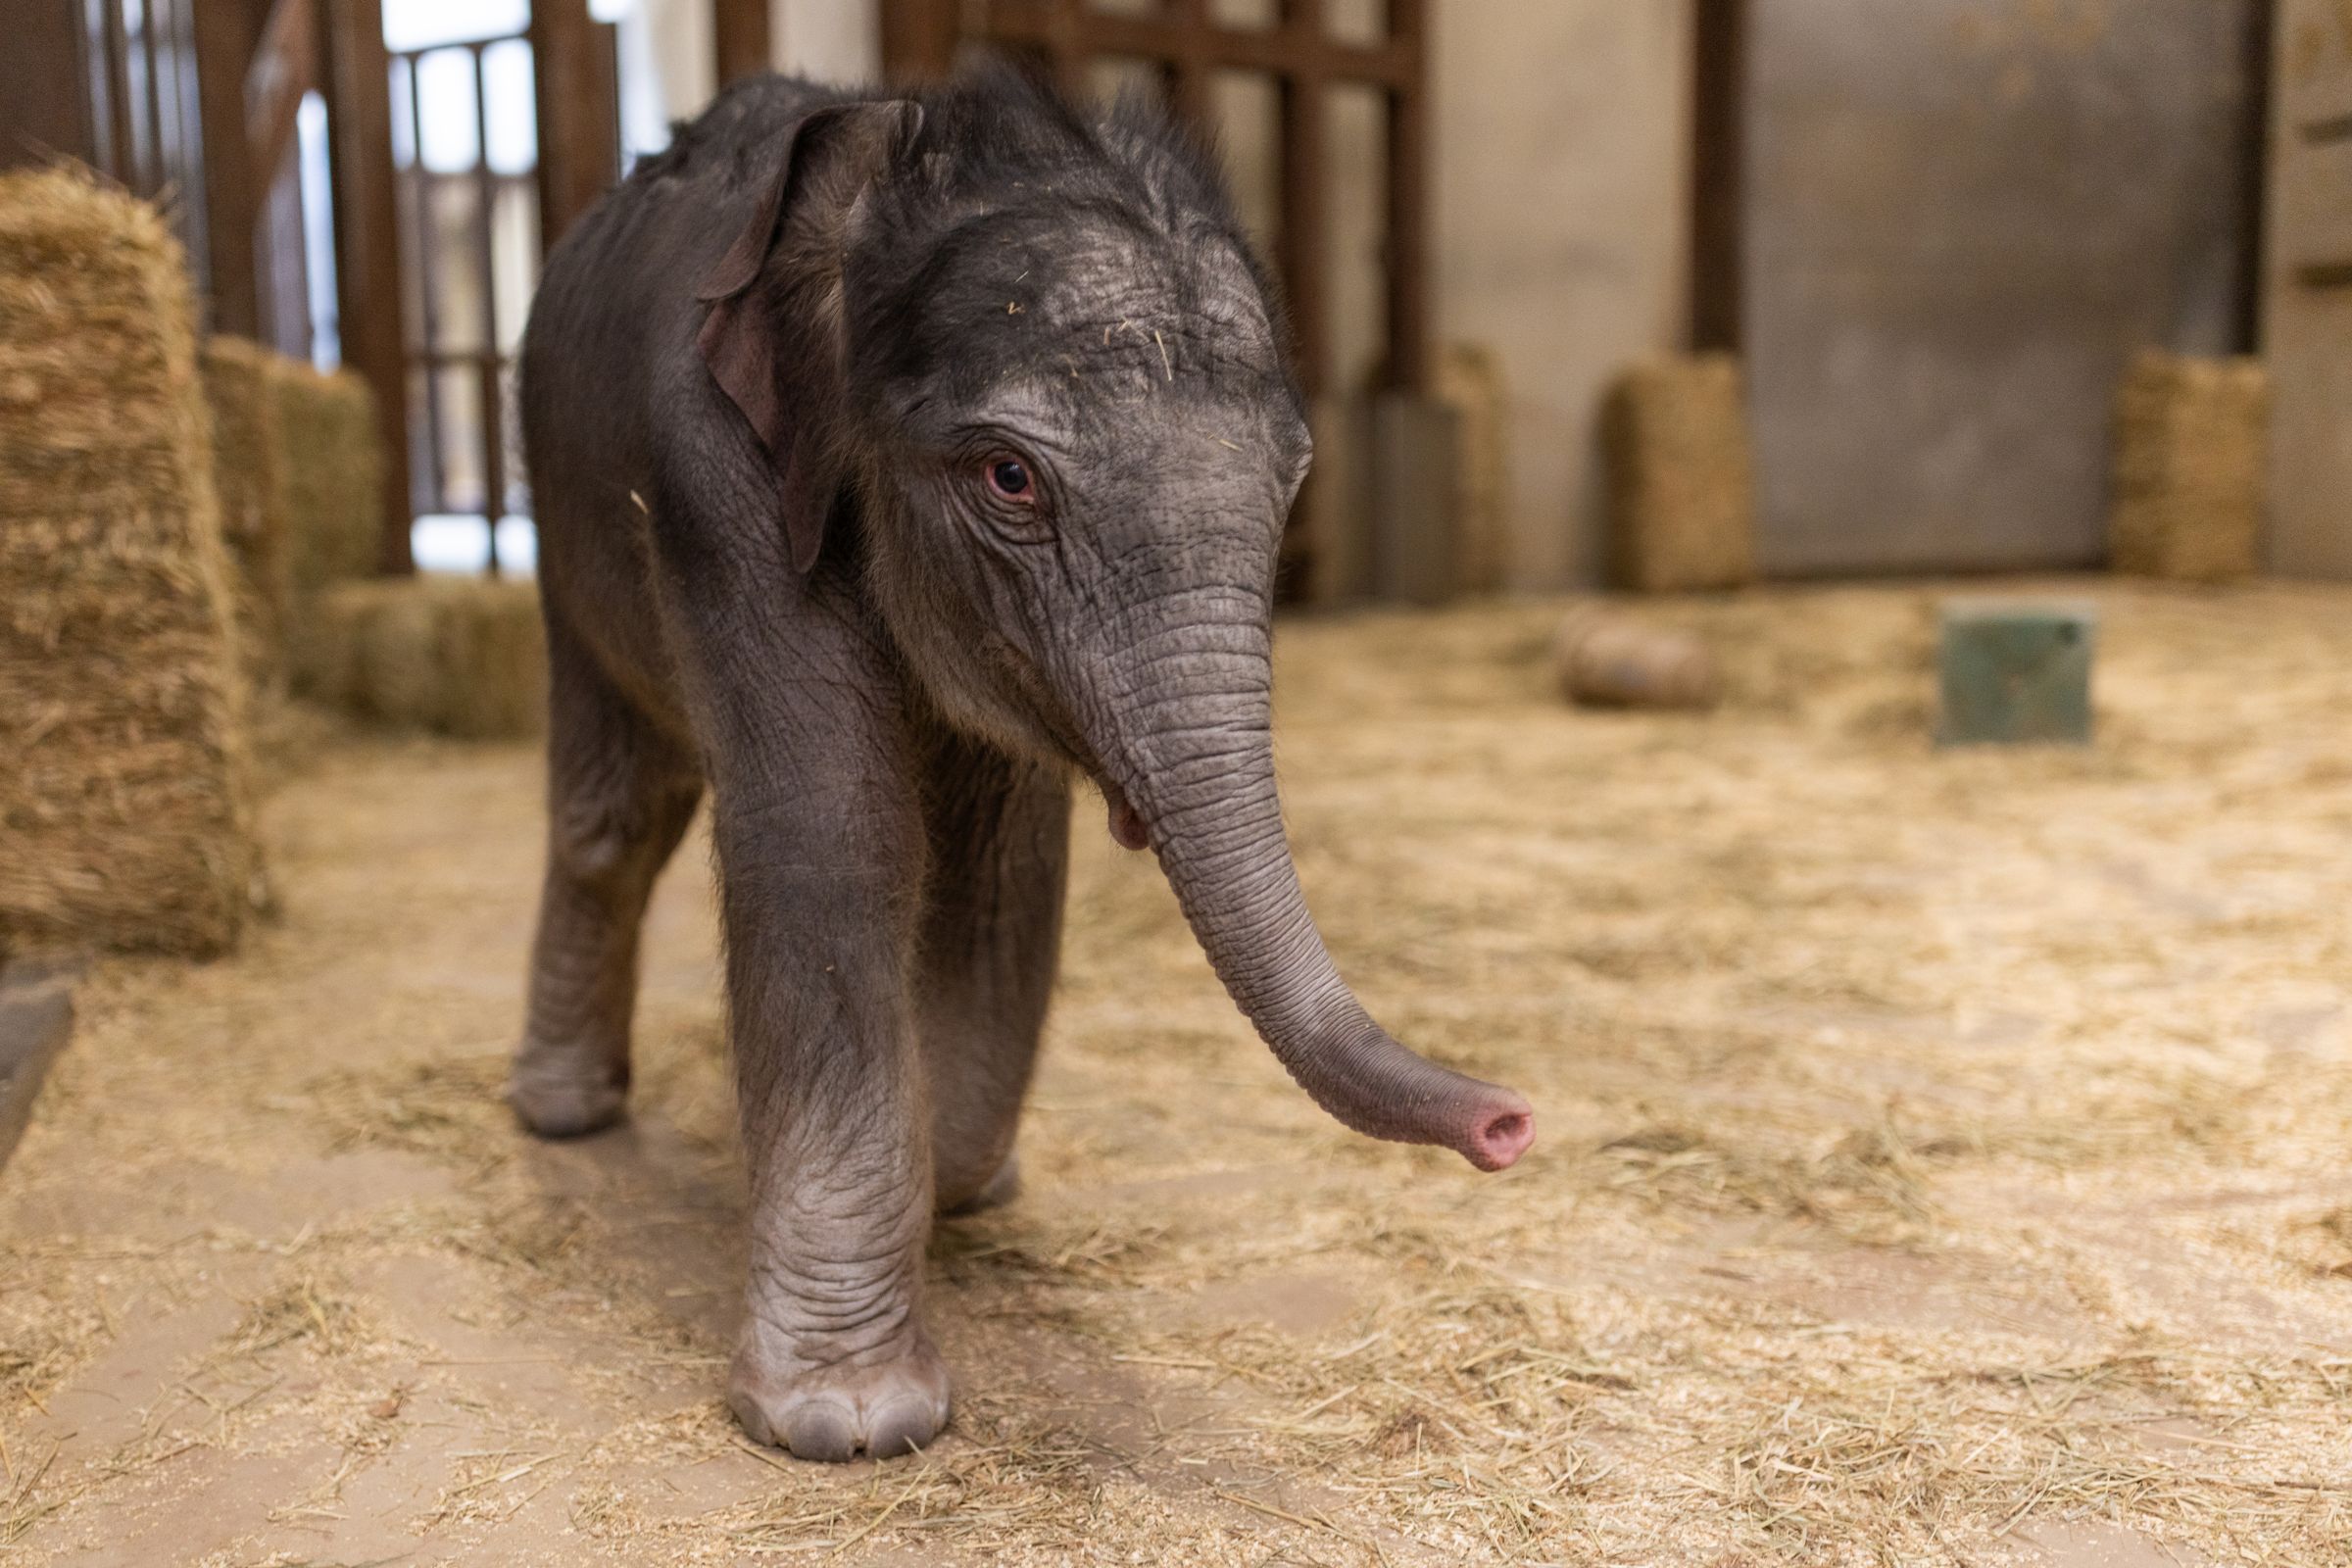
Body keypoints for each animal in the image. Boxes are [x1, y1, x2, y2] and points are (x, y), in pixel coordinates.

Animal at [509, 64, 1534, 1462]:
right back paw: (561, 1116)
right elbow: (836, 837)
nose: (1509, 1124)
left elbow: (997, 865)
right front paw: (847, 1422)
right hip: (561, 524)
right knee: (616, 808)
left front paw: (959, 1183)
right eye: (1009, 478)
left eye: (1294, 481)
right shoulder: (714, 482)